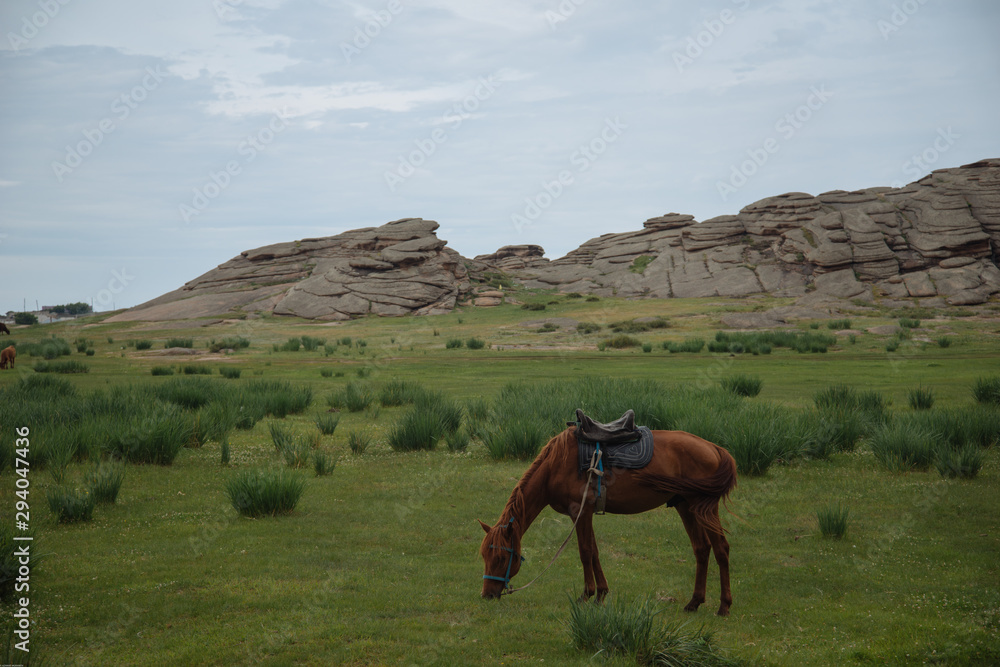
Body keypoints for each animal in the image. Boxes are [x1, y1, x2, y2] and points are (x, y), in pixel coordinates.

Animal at [478, 425, 738, 615]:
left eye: (501, 557)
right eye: (484, 556)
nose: (487, 595)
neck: (555, 466)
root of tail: (713, 448)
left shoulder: (580, 512)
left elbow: (585, 552)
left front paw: (586, 595)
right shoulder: (586, 513)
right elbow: (594, 551)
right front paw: (601, 594)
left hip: (703, 508)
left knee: (721, 549)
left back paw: (724, 605)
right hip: (686, 506)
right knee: (702, 549)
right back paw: (694, 602)